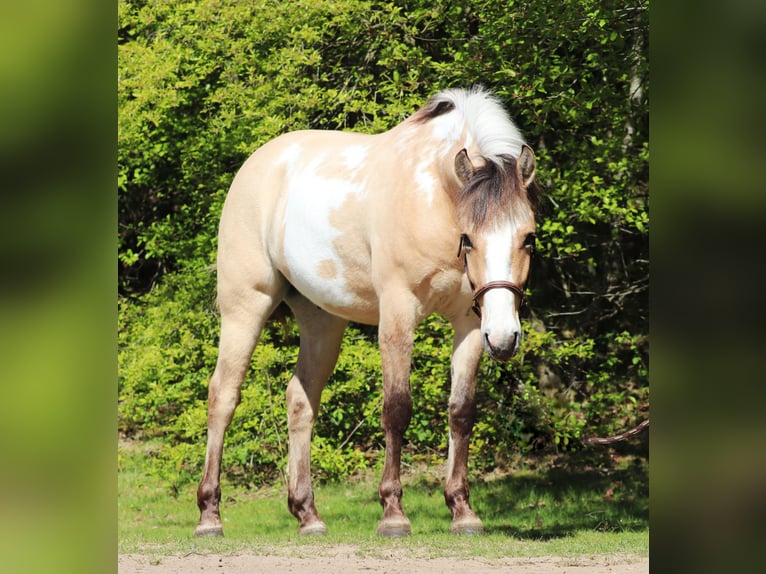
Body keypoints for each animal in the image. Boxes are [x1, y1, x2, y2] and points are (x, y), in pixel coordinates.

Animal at [194, 87, 538, 538]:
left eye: (528, 238)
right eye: (468, 238)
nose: (504, 339)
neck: (433, 198)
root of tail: (258, 164)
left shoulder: (469, 322)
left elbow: (461, 412)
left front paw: (463, 511)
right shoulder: (398, 313)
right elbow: (397, 408)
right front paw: (393, 513)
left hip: (322, 322)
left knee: (301, 400)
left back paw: (308, 515)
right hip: (244, 308)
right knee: (223, 397)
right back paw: (209, 516)